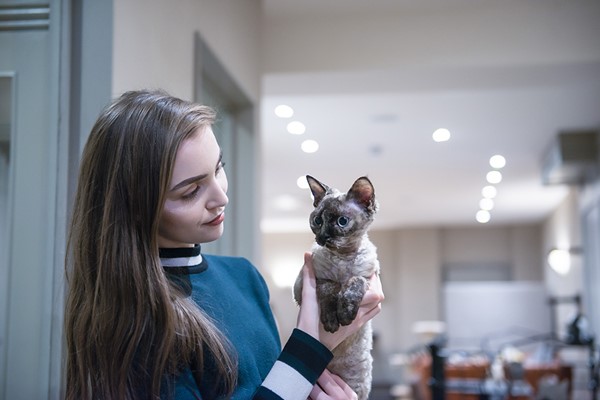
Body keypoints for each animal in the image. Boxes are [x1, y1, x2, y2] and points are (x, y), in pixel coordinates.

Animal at [294, 174, 380, 400]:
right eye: (317, 221)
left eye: (342, 222)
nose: (323, 237)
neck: (343, 258)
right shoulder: (306, 283)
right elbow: (330, 287)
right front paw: (333, 320)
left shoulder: (368, 278)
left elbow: (354, 282)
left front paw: (346, 313)